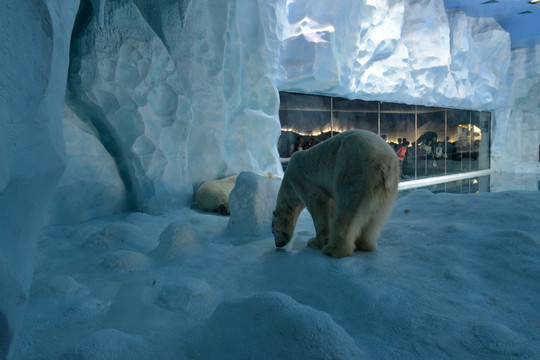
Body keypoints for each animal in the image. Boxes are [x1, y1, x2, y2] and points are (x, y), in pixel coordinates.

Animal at [272, 129, 398, 258]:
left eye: (273, 231)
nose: (278, 244)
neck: (288, 181)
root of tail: (386, 162)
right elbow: (330, 206)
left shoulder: (302, 179)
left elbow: (317, 204)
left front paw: (315, 242)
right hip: (385, 189)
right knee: (376, 215)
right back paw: (365, 244)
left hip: (355, 168)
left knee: (347, 208)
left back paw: (333, 249)